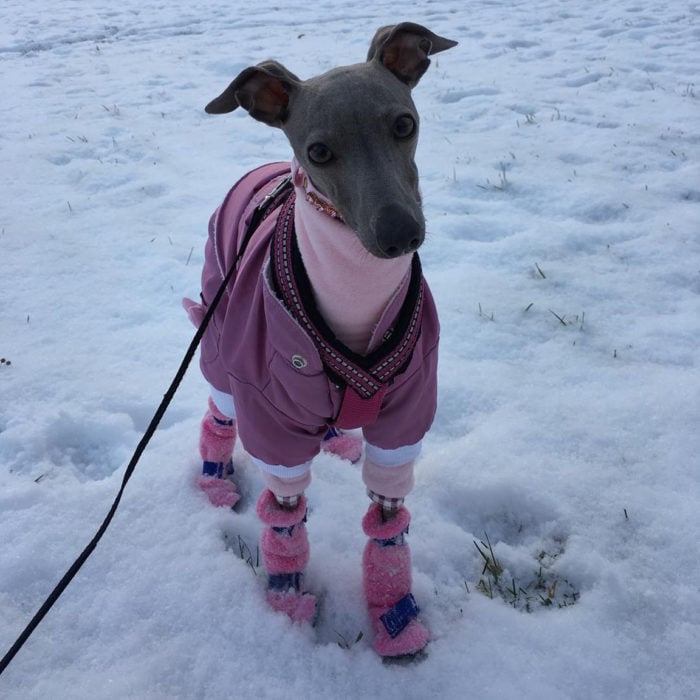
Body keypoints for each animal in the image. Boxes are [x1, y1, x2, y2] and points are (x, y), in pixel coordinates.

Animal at [186, 20, 456, 656]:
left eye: (403, 124)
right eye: (318, 152)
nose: (399, 234)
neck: (353, 301)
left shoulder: (405, 415)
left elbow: (388, 529)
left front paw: (394, 615)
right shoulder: (271, 418)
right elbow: (284, 520)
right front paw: (287, 600)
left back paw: (336, 438)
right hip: (220, 343)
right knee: (218, 410)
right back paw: (214, 480)